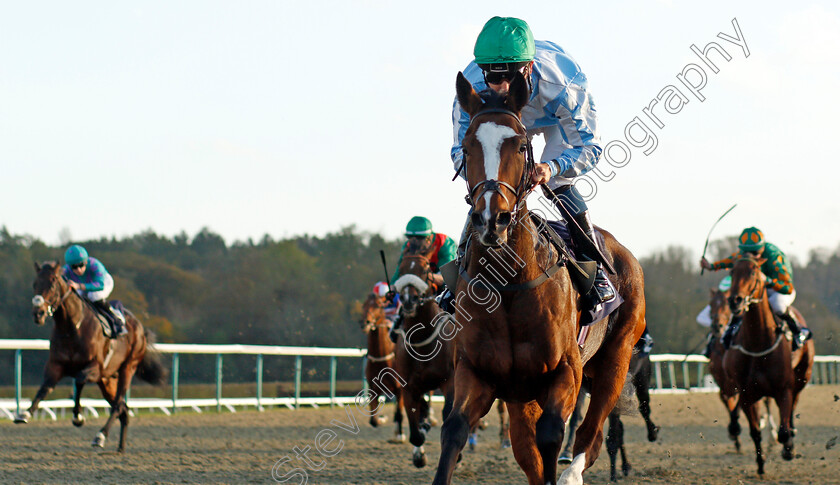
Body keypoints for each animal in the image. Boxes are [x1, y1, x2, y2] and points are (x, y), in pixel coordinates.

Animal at [16, 260, 166, 450]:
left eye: (52, 284)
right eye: (35, 284)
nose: (38, 313)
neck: (72, 328)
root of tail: (140, 329)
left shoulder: (95, 367)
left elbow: (79, 381)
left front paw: (78, 417)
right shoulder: (56, 365)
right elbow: (45, 387)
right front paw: (25, 414)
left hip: (128, 368)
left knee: (118, 405)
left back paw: (100, 436)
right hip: (107, 380)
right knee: (123, 409)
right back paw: (120, 447)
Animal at [358, 292, 404, 442]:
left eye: (378, 305)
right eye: (364, 305)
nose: (365, 323)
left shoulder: (400, 388)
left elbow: (399, 413)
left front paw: (400, 435)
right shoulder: (374, 388)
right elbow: (373, 420)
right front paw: (382, 418)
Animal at [392, 251, 456, 466]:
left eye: (425, 269)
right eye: (402, 269)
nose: (408, 299)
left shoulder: (450, 380)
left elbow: (448, 413)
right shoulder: (409, 387)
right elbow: (415, 430)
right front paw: (419, 452)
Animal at [436, 72, 648, 484]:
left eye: (520, 146)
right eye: (467, 147)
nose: (493, 219)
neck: (509, 285)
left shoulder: (566, 372)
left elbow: (552, 434)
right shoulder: (475, 372)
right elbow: (453, 431)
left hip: (615, 361)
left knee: (590, 436)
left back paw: (572, 473)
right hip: (523, 396)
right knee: (528, 448)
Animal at [720, 255, 812, 474]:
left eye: (753, 271)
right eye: (732, 271)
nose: (735, 300)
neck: (758, 342)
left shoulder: (783, 389)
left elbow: (783, 431)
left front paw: (788, 449)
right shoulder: (747, 394)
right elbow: (755, 431)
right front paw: (760, 464)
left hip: (802, 377)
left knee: (793, 407)